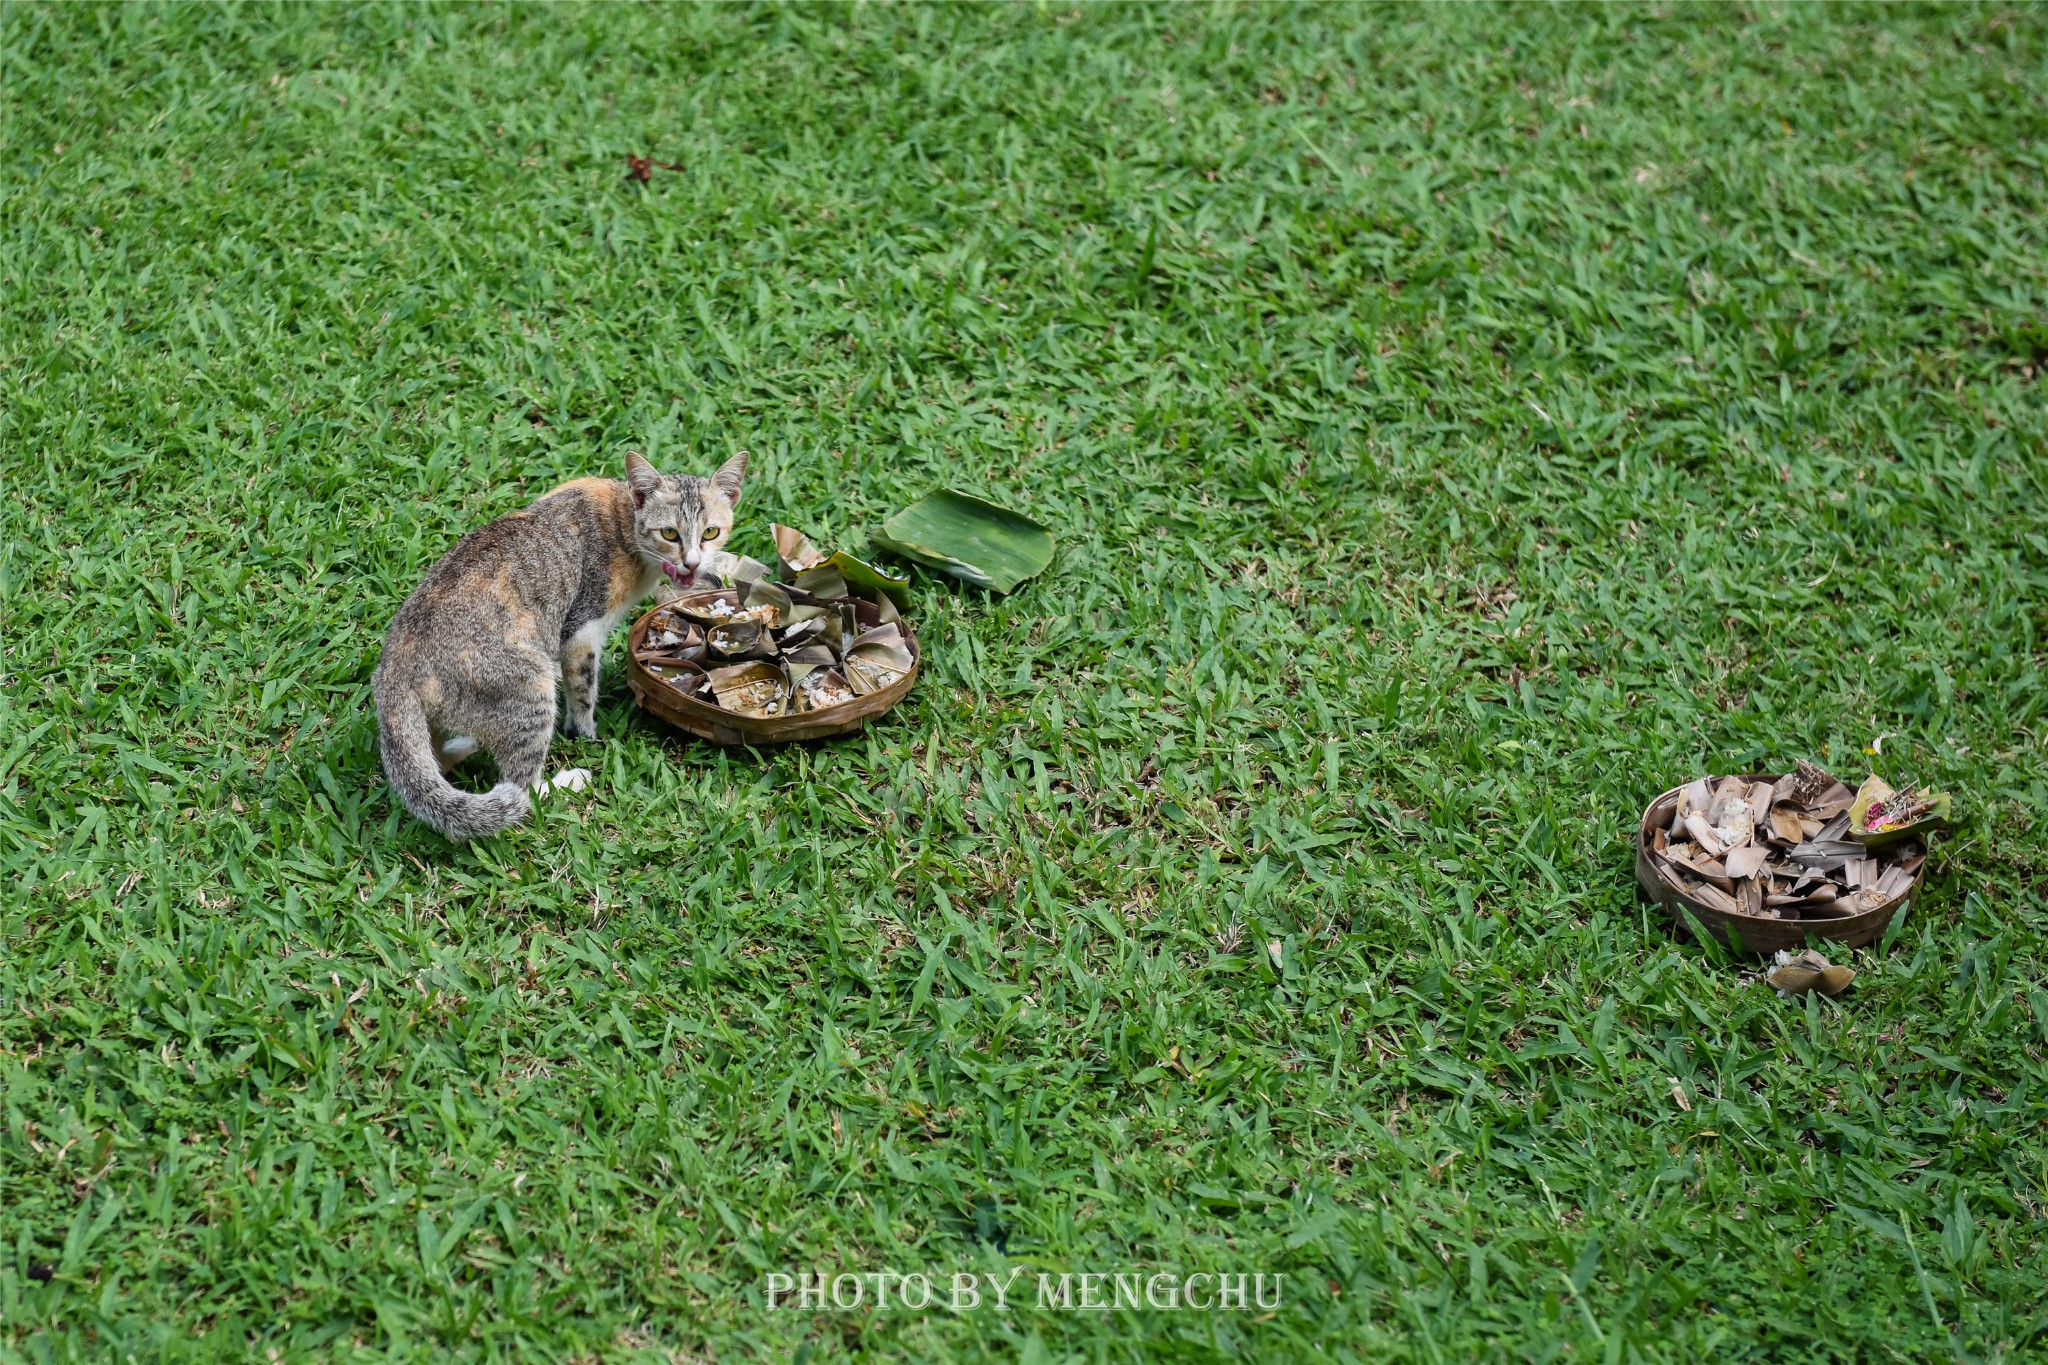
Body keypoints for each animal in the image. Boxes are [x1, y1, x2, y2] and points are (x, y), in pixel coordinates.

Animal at [376, 448, 745, 839]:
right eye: (670, 533)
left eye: (711, 532)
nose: (691, 563)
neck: (624, 523)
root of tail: (393, 673)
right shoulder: (582, 630)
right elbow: (583, 691)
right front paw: (586, 733)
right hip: (530, 684)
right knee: (521, 789)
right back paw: (565, 781)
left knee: (439, 761)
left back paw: (462, 745)